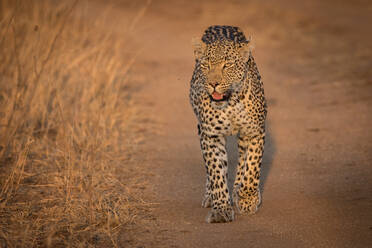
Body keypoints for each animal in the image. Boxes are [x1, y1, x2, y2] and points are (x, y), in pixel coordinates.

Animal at [190, 25, 266, 223]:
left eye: (228, 65)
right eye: (206, 65)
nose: (213, 83)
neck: (230, 102)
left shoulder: (255, 132)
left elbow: (252, 168)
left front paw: (247, 199)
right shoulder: (211, 135)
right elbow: (216, 172)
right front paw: (221, 209)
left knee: (241, 162)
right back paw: (210, 196)